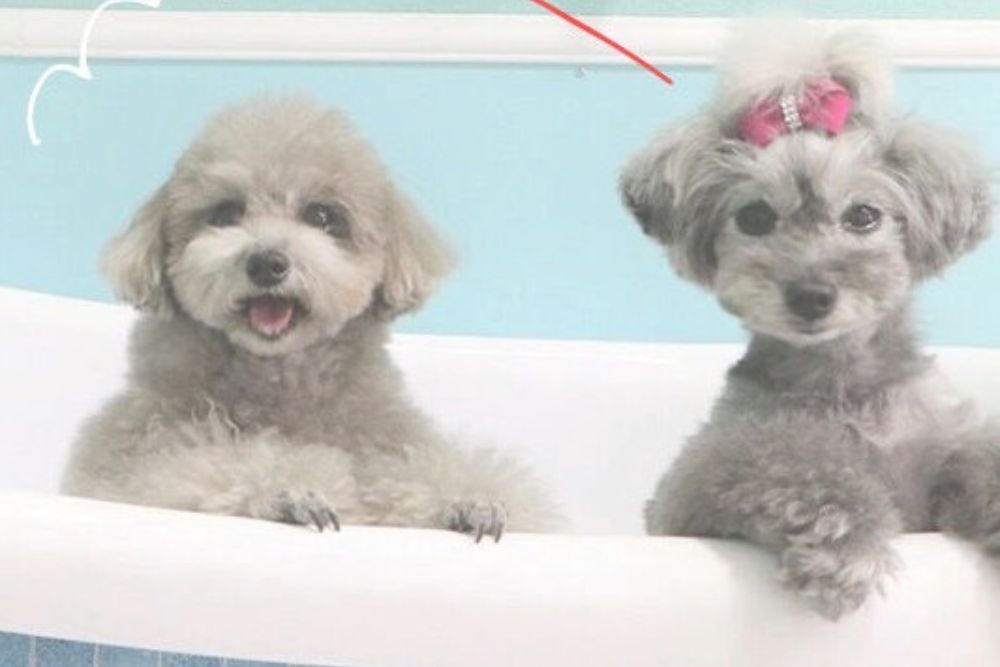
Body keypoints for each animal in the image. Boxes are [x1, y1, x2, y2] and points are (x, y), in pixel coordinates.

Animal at [62, 97, 559, 541]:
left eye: (323, 215)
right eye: (225, 212)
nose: (266, 262)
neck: (282, 377)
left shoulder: (387, 438)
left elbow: (415, 471)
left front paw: (471, 500)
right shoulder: (141, 457)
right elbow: (209, 468)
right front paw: (293, 491)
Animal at [620, 26, 997, 617]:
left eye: (863, 215)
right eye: (755, 217)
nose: (811, 295)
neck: (839, 384)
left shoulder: (936, 446)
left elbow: (977, 455)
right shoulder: (697, 479)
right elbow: (791, 459)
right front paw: (848, 542)